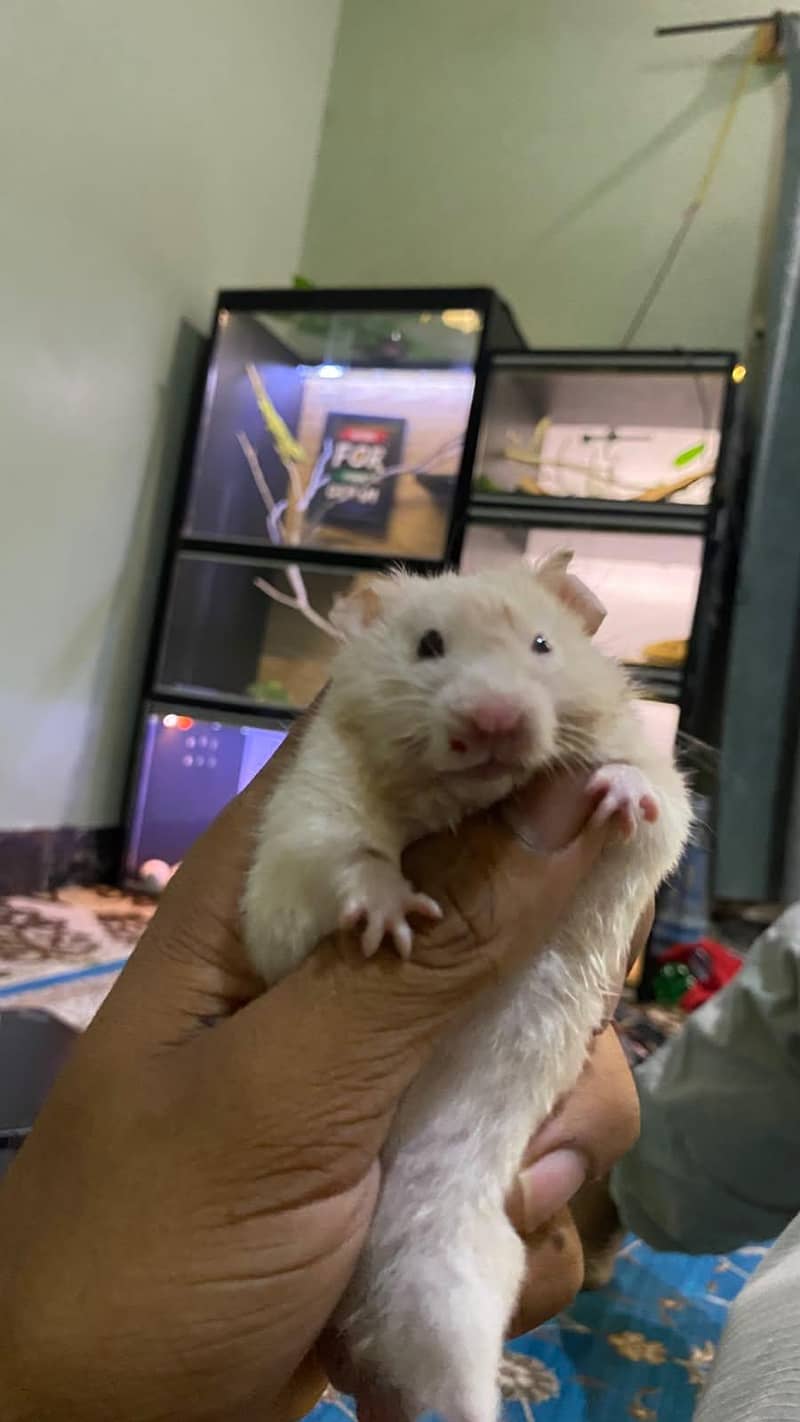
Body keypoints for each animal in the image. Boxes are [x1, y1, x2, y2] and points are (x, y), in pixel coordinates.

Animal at [243, 551, 691, 1422]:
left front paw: (614, 793)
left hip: (451, 1267)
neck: (470, 801)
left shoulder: (657, 820)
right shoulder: (306, 820)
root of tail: (359, 1314)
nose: (494, 722)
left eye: (544, 644)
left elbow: (654, 800)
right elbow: (334, 860)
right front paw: (394, 917)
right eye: (428, 646)